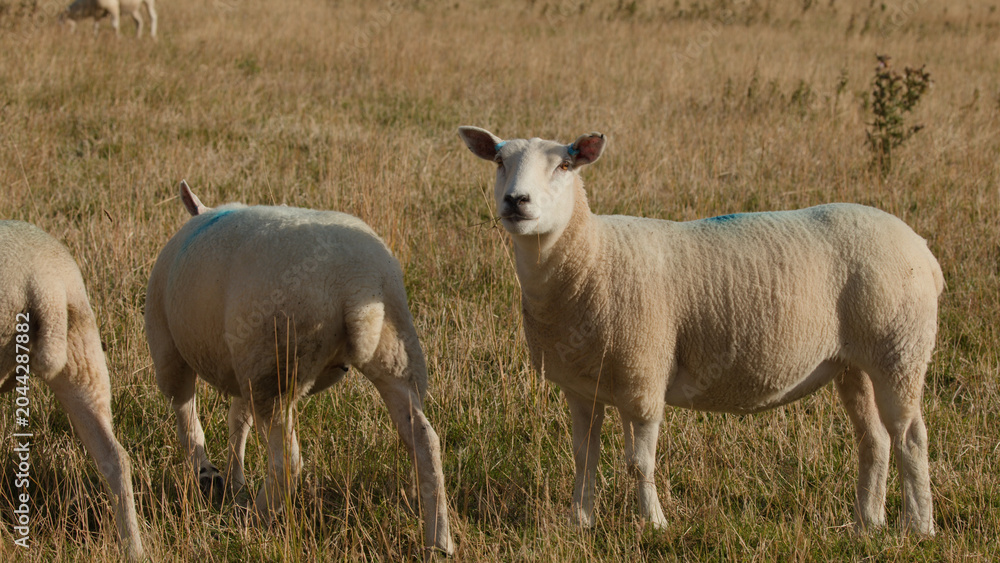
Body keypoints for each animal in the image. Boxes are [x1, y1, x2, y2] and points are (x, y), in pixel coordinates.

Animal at [143, 181, 454, 554]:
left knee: (286, 462)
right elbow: (238, 419)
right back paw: (439, 540)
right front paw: (233, 479)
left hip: (276, 365)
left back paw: (254, 520)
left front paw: (208, 475)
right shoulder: (244, 364)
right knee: (424, 440)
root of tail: (356, 282)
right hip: (395, 355)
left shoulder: (171, 351)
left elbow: (187, 419)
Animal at [458, 126, 942, 536]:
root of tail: (922, 250)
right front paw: (580, 521)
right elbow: (584, 457)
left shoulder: (643, 376)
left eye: (564, 165)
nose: (516, 201)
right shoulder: (582, 386)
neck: (592, 257)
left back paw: (918, 527)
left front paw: (654, 524)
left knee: (910, 436)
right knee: (875, 439)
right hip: (854, 361)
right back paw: (868, 522)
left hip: (899, 346)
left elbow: (639, 463)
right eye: (499, 161)